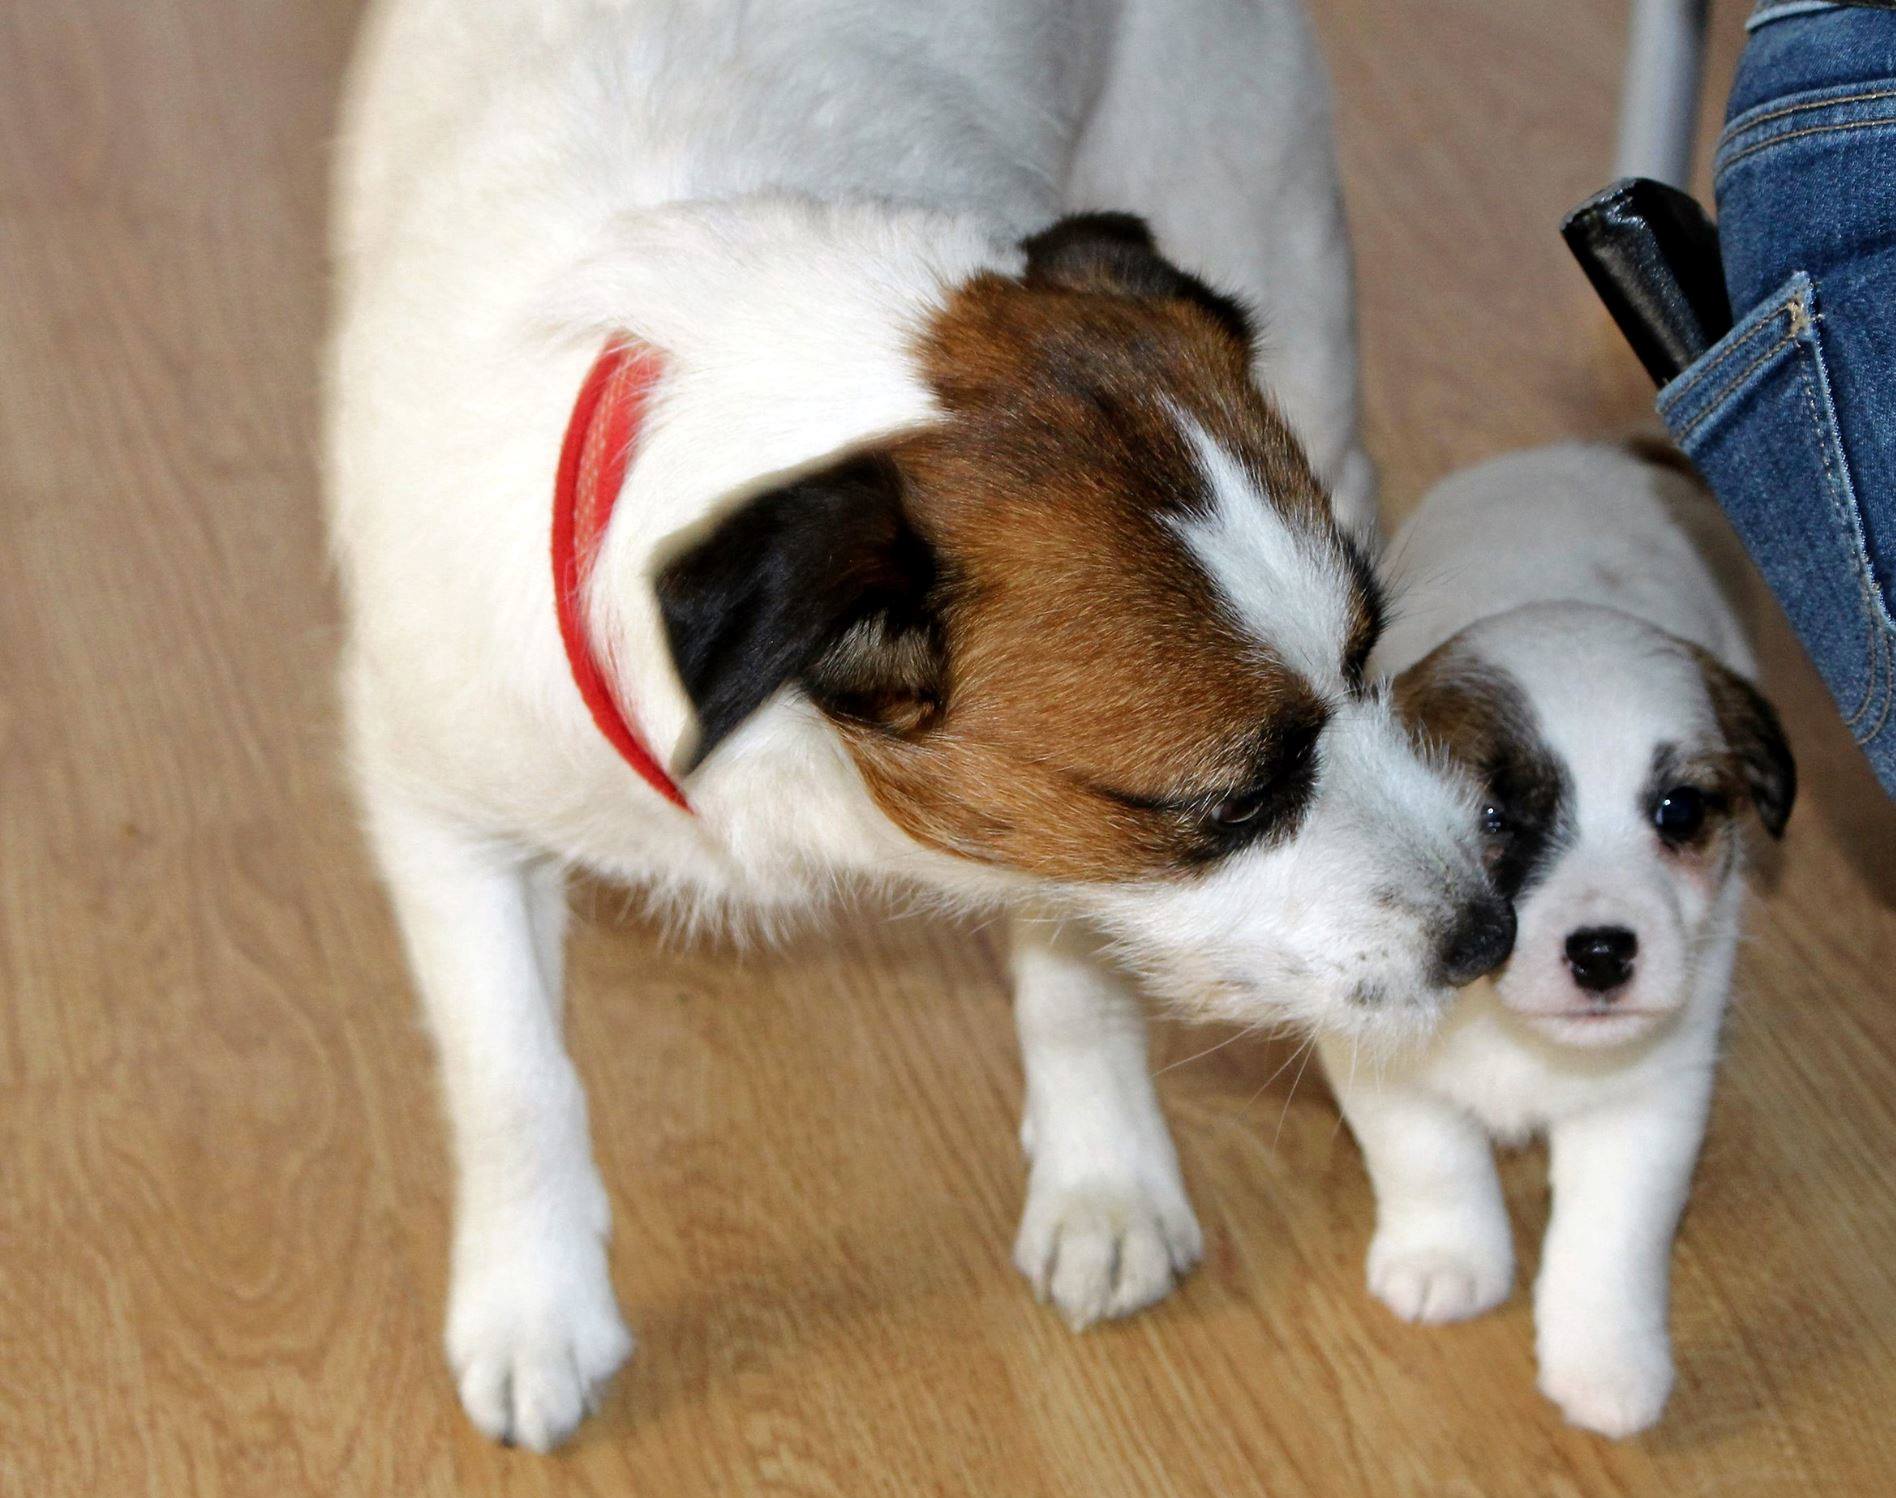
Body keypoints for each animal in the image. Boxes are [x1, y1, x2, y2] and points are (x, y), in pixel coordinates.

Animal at [326, 0, 1509, 1456]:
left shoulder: (1048, 832)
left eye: (1367, 655)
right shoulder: (440, 815)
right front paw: (533, 1301)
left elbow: (1075, 981)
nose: (1491, 932)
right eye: (1231, 803)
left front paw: (1102, 1172)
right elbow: (512, 1081)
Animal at [1319, 443, 1789, 1441]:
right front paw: (1446, 1257)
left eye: (1679, 811)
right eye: (1493, 819)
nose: (1603, 953)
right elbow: (1425, 1153)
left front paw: (1605, 1363)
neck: (1509, 1029)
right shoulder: (1370, 1052)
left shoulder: (1648, 1100)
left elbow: (1610, 1235)